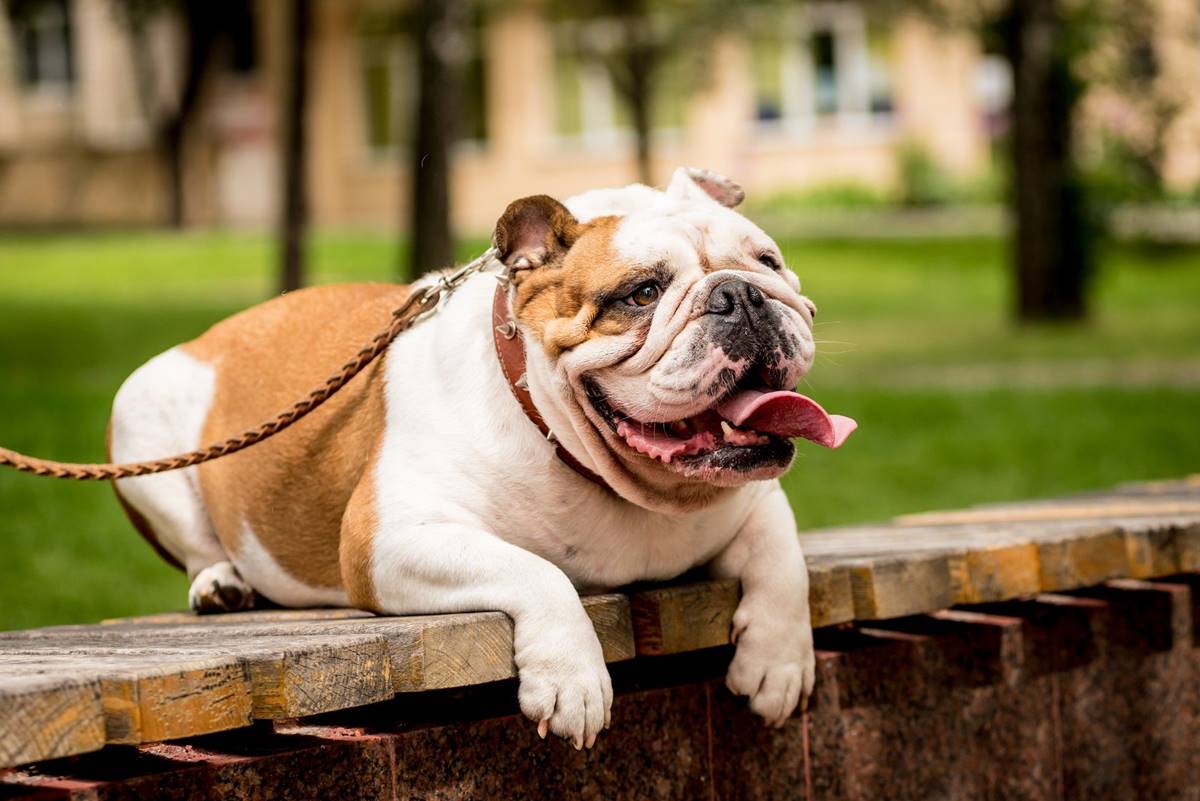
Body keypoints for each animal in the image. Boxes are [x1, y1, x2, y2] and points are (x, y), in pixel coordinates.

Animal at [105, 165, 854, 748]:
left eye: (767, 261)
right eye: (642, 293)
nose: (741, 293)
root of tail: (217, 332)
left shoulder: (753, 499)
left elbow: (781, 554)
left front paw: (780, 661)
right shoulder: (389, 538)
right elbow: (535, 572)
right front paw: (574, 679)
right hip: (140, 423)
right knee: (199, 543)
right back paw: (220, 584)